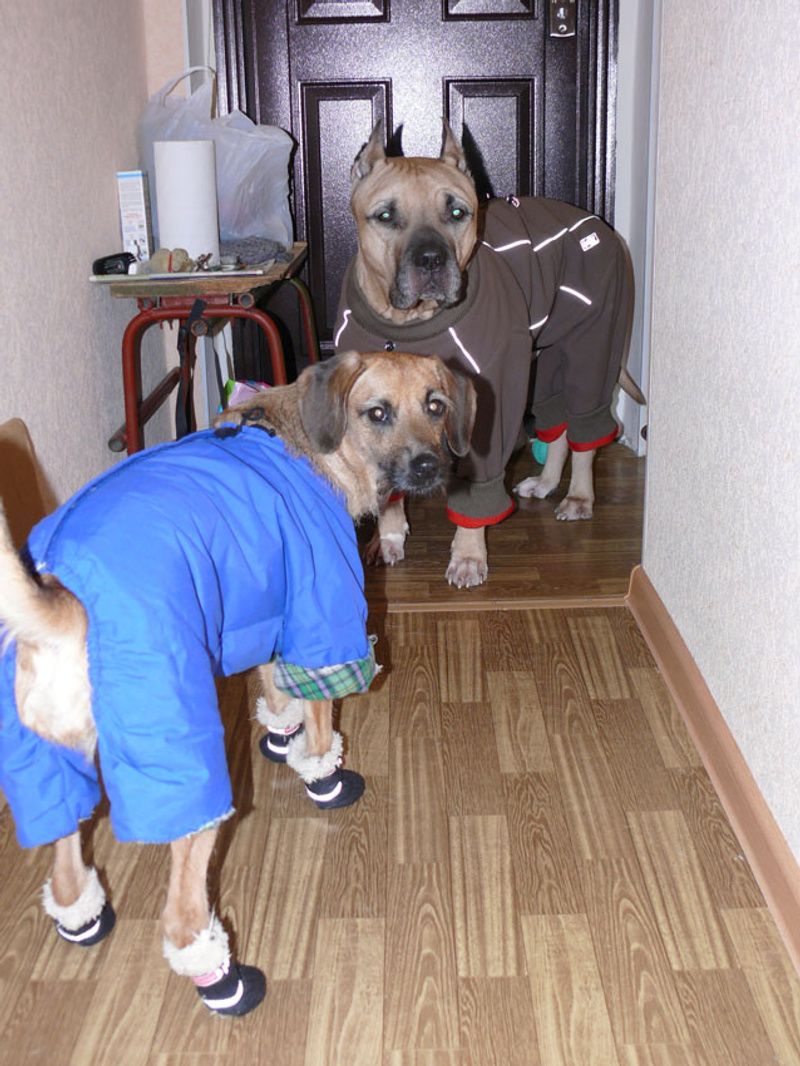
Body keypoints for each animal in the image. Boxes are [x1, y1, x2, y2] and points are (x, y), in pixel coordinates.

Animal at [0, 349, 475, 1017]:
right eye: (377, 412)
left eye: (436, 405)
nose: (431, 466)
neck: (307, 443)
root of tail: (64, 600)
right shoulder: (319, 615)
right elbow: (321, 718)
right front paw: (324, 776)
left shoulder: (260, 609)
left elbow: (276, 692)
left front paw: (279, 738)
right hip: (181, 766)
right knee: (181, 916)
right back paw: (223, 982)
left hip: (43, 766)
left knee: (66, 864)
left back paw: (81, 919)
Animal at [335, 120, 644, 588]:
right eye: (385, 216)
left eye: (457, 213)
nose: (431, 259)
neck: (408, 323)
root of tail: (599, 225)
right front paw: (387, 539)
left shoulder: (487, 407)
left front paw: (468, 555)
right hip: (541, 361)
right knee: (555, 421)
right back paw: (546, 482)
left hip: (591, 347)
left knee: (586, 425)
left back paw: (578, 496)